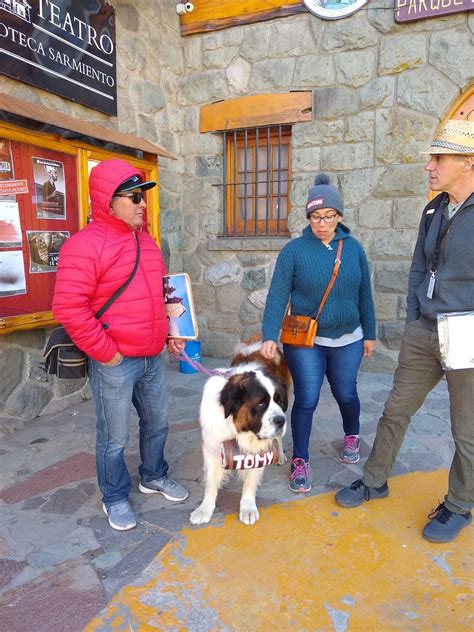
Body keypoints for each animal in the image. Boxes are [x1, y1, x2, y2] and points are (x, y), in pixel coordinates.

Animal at [189, 338, 288, 524]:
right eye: (261, 403)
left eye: (279, 400)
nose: (281, 420)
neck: (236, 427)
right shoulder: (212, 446)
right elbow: (211, 483)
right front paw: (205, 509)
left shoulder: (258, 451)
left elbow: (250, 482)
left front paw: (248, 508)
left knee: (277, 439)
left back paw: (280, 454)